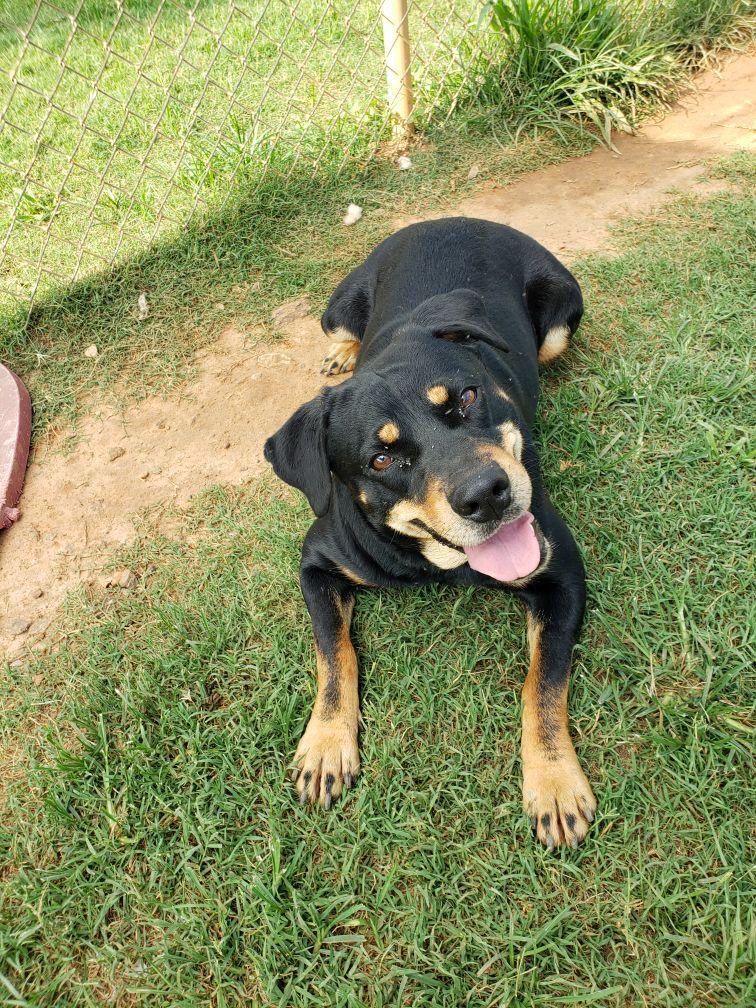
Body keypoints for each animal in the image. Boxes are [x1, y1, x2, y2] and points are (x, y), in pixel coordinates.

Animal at [266, 218, 596, 850]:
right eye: (380, 459)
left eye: (466, 397)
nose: (487, 494)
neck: (438, 562)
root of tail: (455, 219)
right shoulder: (316, 562)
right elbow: (333, 654)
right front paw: (325, 745)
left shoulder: (561, 571)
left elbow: (543, 683)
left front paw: (554, 783)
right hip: (337, 306)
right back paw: (341, 353)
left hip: (561, 317)